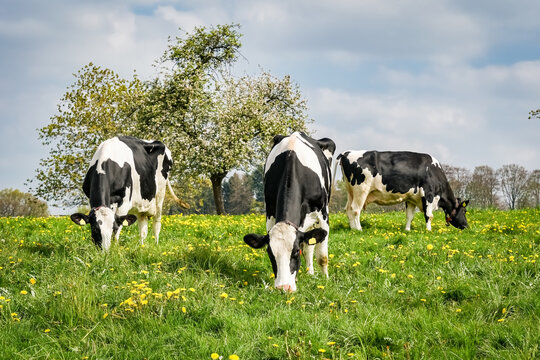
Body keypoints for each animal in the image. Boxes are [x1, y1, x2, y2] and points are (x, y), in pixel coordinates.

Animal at [244, 131, 336, 292]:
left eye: (295, 252)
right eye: (270, 254)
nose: (284, 287)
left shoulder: (323, 215)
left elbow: (322, 257)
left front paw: (325, 280)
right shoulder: (270, 214)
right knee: (309, 247)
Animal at [338, 151, 468, 231]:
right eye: (465, 211)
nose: (466, 226)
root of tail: (346, 153)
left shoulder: (411, 198)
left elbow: (409, 215)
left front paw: (407, 230)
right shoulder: (428, 194)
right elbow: (429, 215)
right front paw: (429, 230)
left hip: (350, 192)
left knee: (348, 209)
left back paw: (353, 229)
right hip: (361, 190)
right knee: (355, 209)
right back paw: (359, 229)